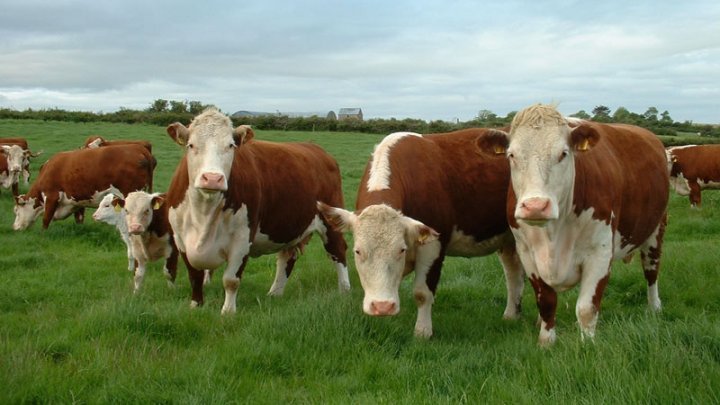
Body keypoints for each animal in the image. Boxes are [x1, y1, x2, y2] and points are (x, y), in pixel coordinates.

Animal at [13, 144, 156, 230]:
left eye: (16, 211)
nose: (14, 227)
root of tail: (139, 148)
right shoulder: (77, 201)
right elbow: (79, 219)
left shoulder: (51, 196)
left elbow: (46, 219)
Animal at [165, 108, 349, 313]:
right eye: (191, 145)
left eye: (230, 145)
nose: (212, 178)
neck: (204, 211)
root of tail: (316, 149)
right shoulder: (181, 239)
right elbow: (194, 276)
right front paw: (196, 305)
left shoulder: (243, 238)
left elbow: (231, 280)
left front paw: (228, 312)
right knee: (287, 257)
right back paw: (274, 294)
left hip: (330, 218)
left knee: (338, 250)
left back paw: (344, 290)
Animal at [317, 129, 525, 338]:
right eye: (358, 251)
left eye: (400, 250)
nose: (382, 306)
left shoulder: (433, 246)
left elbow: (422, 293)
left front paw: (423, 331)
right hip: (508, 240)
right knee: (513, 274)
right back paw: (511, 314)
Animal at [480, 103, 669, 346]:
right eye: (511, 155)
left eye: (563, 154)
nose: (535, 206)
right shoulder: (528, 254)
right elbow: (546, 302)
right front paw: (546, 341)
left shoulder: (599, 253)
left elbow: (586, 308)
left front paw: (587, 344)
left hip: (656, 230)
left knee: (651, 272)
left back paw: (654, 307)